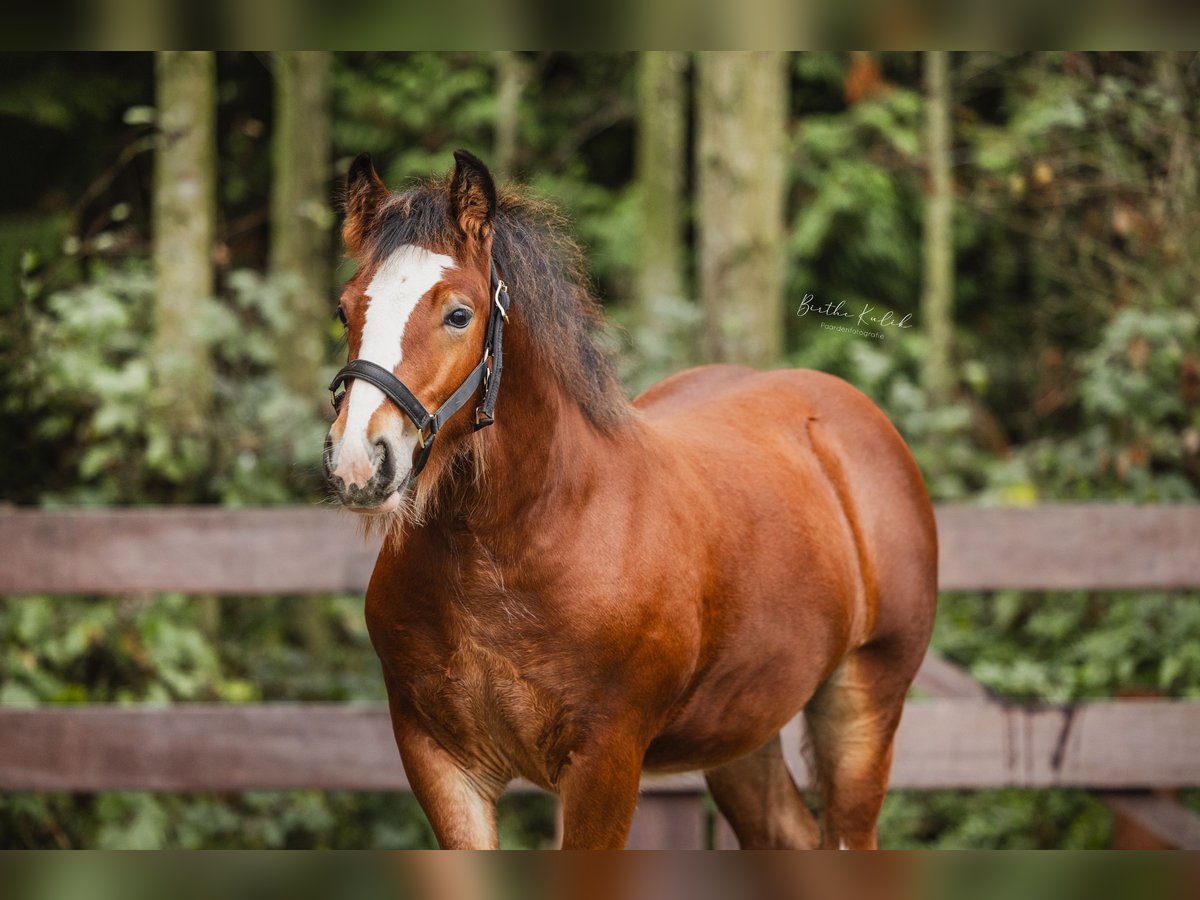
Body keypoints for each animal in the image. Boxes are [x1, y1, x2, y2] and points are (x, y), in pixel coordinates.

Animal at [321, 150, 936, 854]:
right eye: (344, 311)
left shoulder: (605, 760)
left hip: (864, 708)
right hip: (740, 727)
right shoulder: (438, 759)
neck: (510, 549)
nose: (359, 462)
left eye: (458, 314)